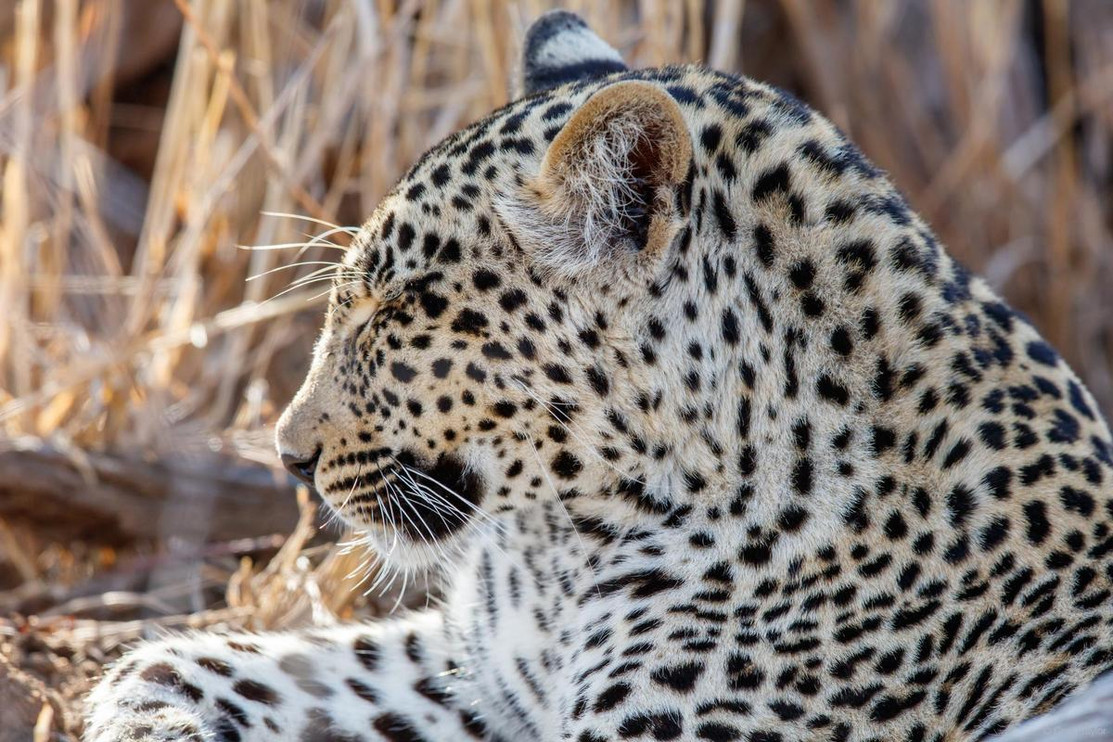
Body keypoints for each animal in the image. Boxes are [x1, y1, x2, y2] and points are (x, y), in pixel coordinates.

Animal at [85, 11, 1113, 742]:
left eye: (402, 307)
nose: (287, 456)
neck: (568, 546)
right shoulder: (476, 673)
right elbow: (265, 666)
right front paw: (147, 709)